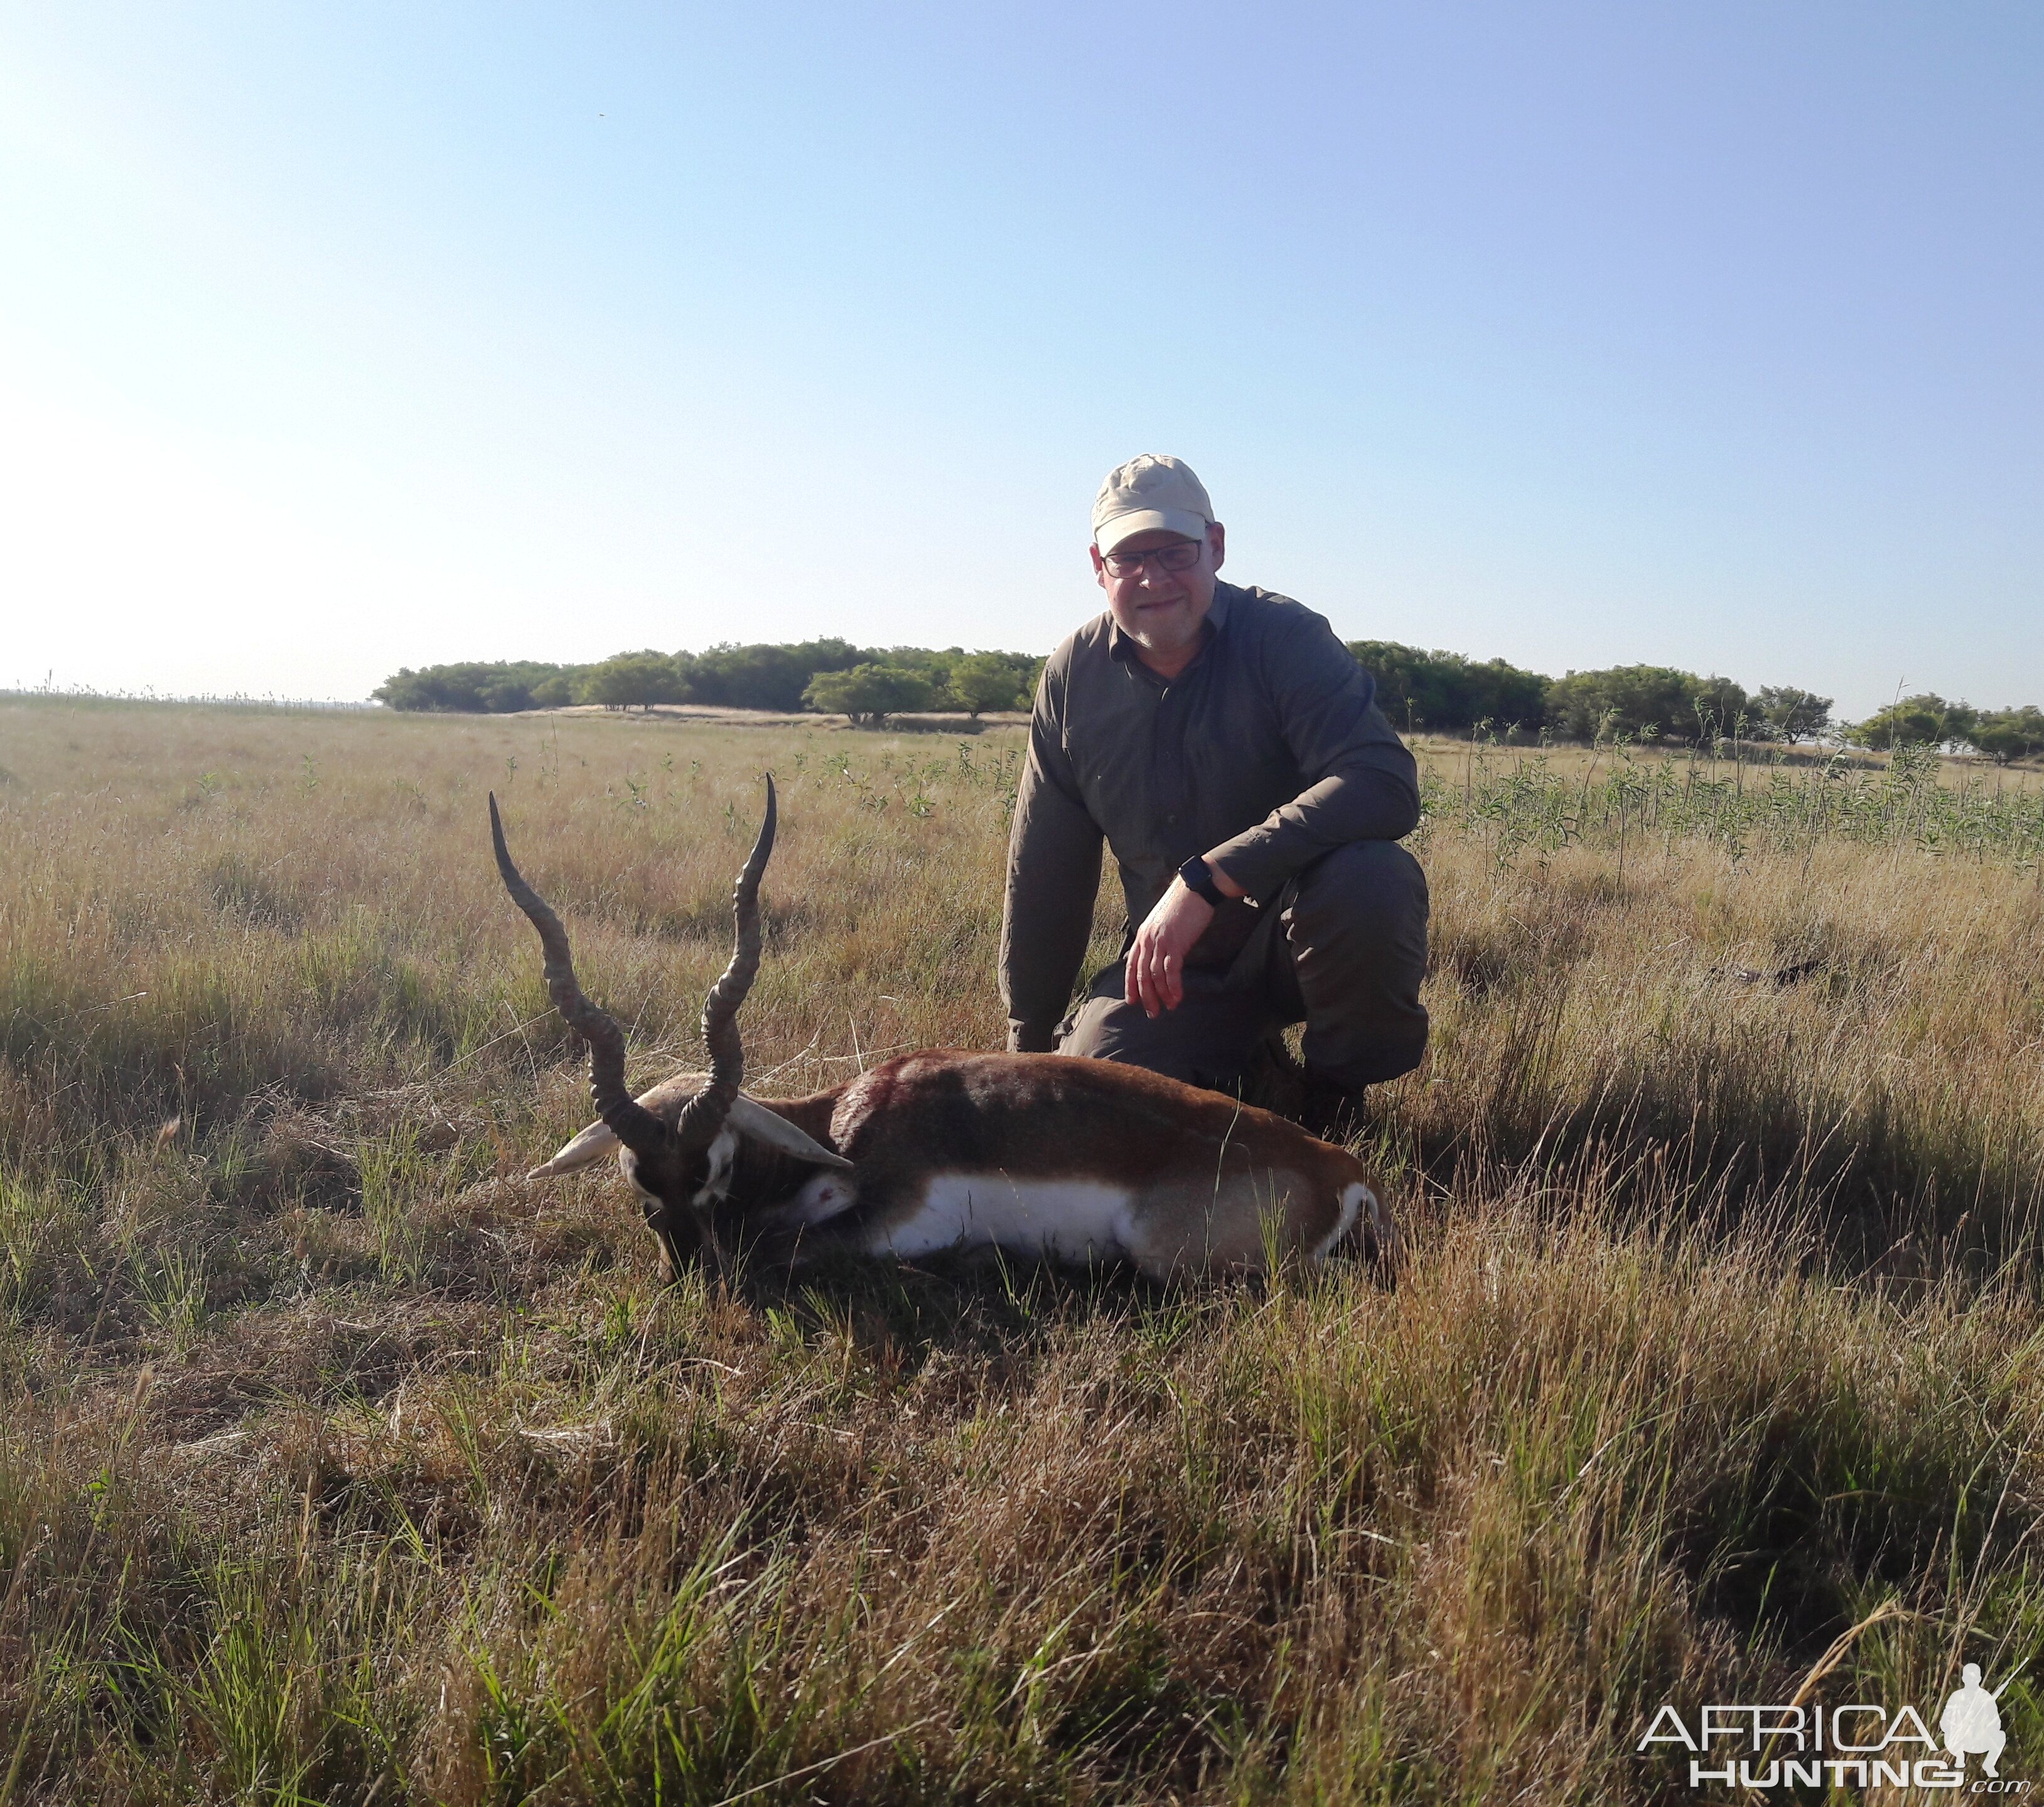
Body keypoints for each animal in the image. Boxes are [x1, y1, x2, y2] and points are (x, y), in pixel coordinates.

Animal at [486, 780, 1398, 1283]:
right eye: (635, 1172)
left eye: (710, 1162)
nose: (691, 1267)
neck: (840, 1124)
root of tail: (1340, 1168)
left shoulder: (896, 1219)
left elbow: (785, 1248)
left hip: (1163, 1251)